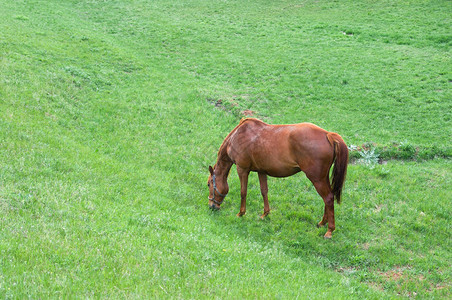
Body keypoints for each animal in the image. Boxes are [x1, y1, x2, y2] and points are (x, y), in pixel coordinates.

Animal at [208, 118, 350, 238]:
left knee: (328, 198)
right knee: (328, 197)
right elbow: (264, 191)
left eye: (209, 184)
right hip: (322, 178)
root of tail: (328, 134)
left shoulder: (242, 169)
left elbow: (243, 192)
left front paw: (241, 213)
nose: (212, 206)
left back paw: (330, 230)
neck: (238, 136)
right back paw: (322, 223)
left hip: (317, 179)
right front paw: (265, 214)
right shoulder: (261, 171)